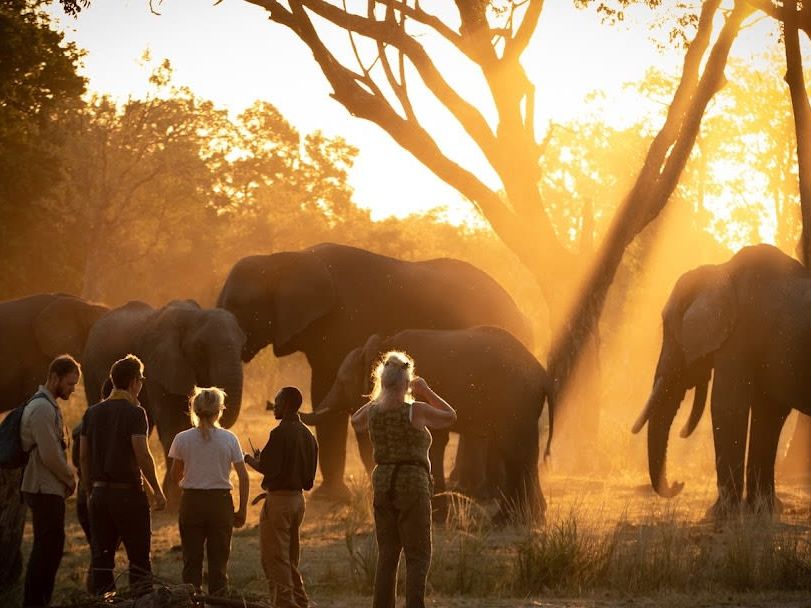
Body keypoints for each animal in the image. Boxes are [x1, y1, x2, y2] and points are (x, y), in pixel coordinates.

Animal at [81, 299, 245, 507]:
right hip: (89, 370)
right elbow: (172, 426)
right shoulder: (157, 367)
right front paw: (175, 499)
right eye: (200, 348)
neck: (191, 317)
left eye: (243, 344)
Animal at [217, 243, 534, 501]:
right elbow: (322, 388)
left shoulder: (346, 322)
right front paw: (329, 498)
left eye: (237, 305)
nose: (270, 402)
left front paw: (334, 497)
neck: (285, 259)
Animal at [302, 326, 553, 522]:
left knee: (515, 452)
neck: (381, 345)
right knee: (519, 454)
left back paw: (510, 520)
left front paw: (436, 516)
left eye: (342, 381)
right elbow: (436, 442)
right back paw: (524, 518)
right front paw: (439, 515)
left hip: (515, 400)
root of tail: (542, 376)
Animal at [632, 244, 811, 516]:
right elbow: (768, 413)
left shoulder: (741, 333)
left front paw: (719, 514)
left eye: (670, 332)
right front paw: (762, 511)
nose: (679, 483)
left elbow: (728, 406)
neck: (721, 270)